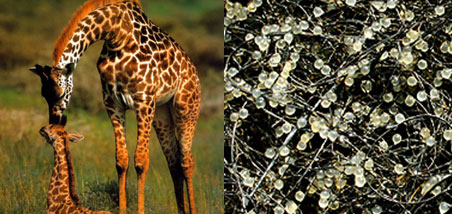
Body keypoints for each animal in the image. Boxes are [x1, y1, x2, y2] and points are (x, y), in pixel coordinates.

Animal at [30, 0, 200, 213]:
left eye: (60, 94)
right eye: (43, 95)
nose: (53, 123)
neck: (116, 33)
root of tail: (194, 72)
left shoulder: (144, 100)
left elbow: (141, 161)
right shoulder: (113, 103)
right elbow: (121, 160)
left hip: (186, 108)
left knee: (187, 161)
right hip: (162, 115)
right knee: (174, 162)